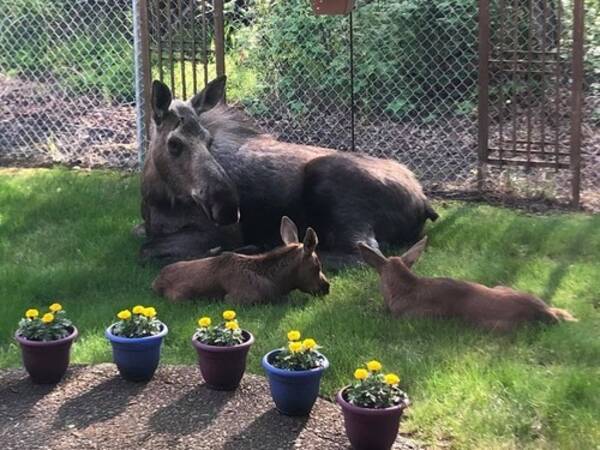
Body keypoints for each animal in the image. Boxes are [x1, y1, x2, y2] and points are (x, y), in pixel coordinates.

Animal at [142, 76, 438, 268]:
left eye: (208, 140)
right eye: (174, 143)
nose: (227, 208)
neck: (157, 196)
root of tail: (424, 201)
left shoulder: (223, 232)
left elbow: (150, 251)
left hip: (333, 186)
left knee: (363, 255)